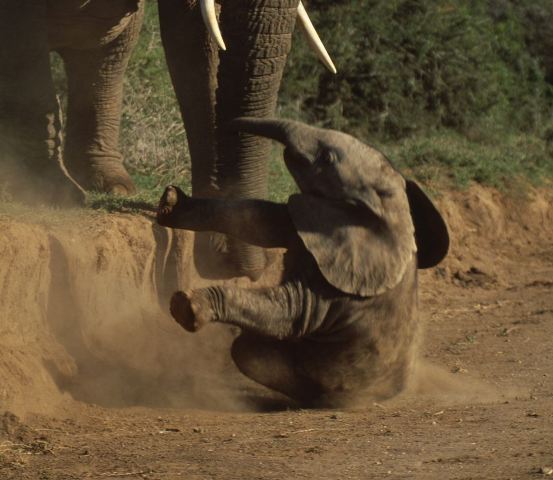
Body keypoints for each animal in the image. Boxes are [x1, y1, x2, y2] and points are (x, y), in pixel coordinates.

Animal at [156, 117, 450, 408]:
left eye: (327, 157)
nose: (227, 125)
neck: (389, 207)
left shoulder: (342, 282)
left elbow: (293, 309)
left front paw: (185, 306)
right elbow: (264, 220)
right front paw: (171, 202)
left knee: (247, 351)